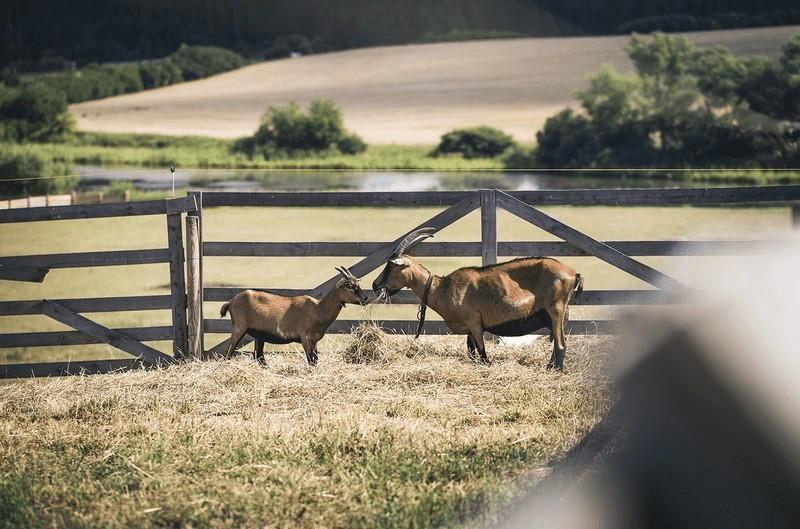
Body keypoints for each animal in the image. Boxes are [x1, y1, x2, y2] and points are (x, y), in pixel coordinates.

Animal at [219, 266, 368, 366]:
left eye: (357, 284)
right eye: (350, 285)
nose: (365, 298)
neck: (319, 309)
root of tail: (231, 301)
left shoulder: (314, 341)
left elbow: (315, 360)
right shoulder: (305, 337)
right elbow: (310, 360)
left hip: (259, 335)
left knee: (259, 356)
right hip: (239, 328)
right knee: (228, 354)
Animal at [372, 226, 584, 368]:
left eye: (390, 266)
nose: (375, 285)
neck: (441, 288)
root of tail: (573, 273)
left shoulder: (474, 322)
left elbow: (482, 354)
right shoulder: (469, 330)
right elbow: (471, 352)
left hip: (556, 309)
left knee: (561, 344)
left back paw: (555, 370)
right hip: (559, 314)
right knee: (557, 342)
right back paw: (550, 366)